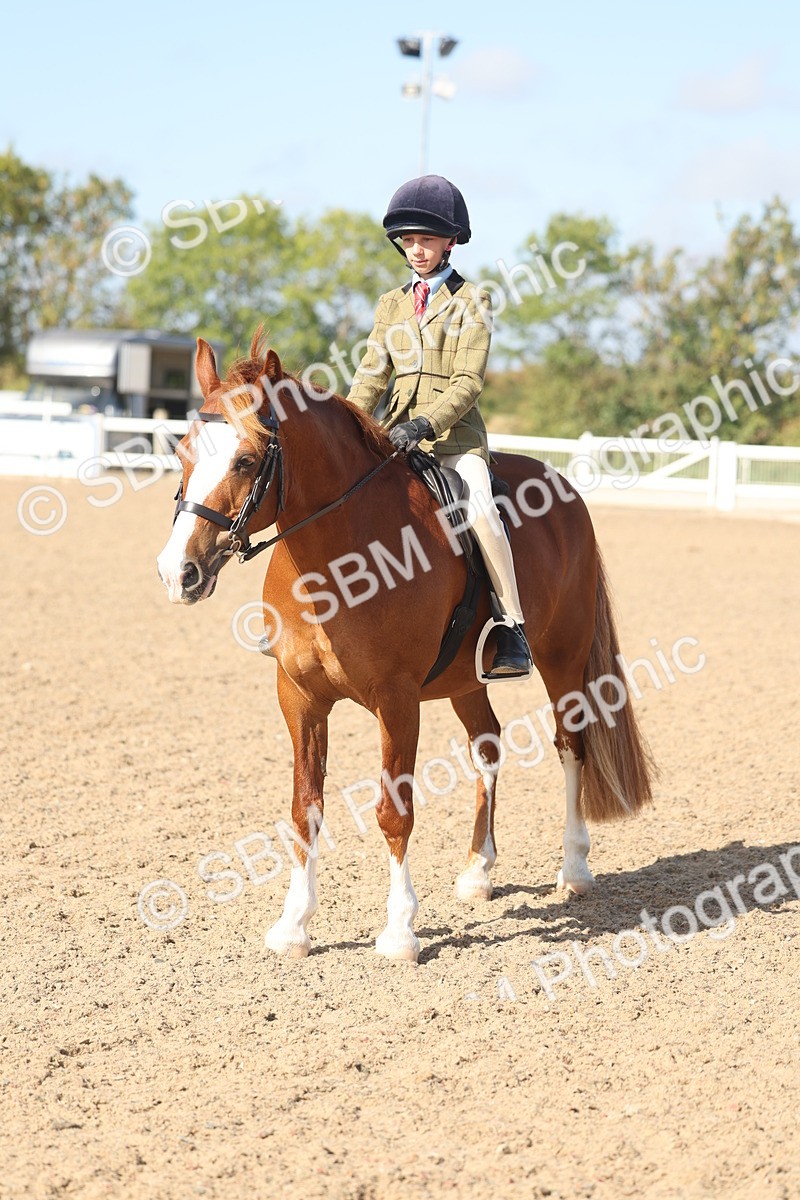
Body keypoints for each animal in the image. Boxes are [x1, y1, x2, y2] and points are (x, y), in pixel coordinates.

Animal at [156, 331, 655, 961]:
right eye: (183, 454)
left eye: (246, 460)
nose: (178, 573)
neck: (337, 557)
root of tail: (562, 485)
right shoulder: (299, 698)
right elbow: (304, 808)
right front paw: (293, 925)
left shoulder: (396, 700)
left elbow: (394, 812)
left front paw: (399, 932)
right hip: (467, 681)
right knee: (487, 746)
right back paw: (478, 871)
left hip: (563, 659)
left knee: (571, 746)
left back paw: (574, 870)